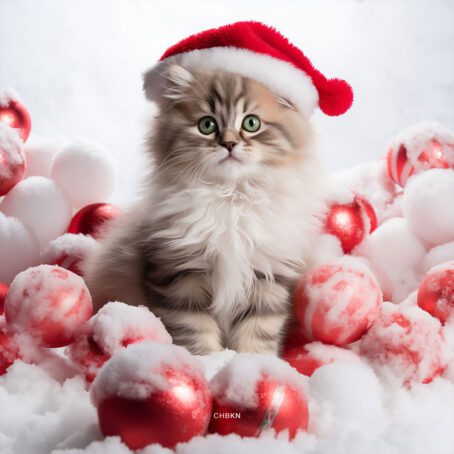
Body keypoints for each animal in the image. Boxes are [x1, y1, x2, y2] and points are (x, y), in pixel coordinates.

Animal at [84, 63, 326, 354]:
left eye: (251, 123)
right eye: (207, 125)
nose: (229, 144)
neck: (230, 197)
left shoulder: (268, 276)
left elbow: (257, 333)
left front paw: (252, 360)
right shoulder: (179, 273)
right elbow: (195, 332)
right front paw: (210, 361)